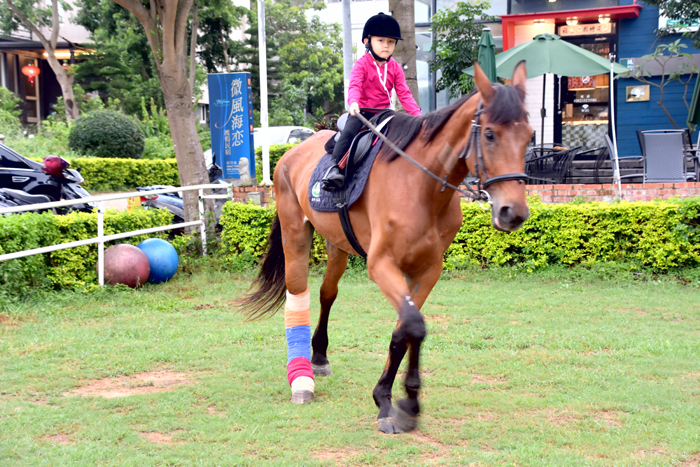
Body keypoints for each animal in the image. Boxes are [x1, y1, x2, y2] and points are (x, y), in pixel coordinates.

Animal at [239, 63, 532, 436]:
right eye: (491, 134)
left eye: (529, 136)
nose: (513, 212)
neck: (421, 186)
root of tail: (292, 152)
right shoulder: (381, 265)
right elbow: (414, 326)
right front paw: (396, 402)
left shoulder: (426, 270)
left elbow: (404, 331)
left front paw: (397, 400)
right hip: (296, 236)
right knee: (298, 294)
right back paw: (301, 379)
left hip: (337, 245)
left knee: (326, 293)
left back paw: (319, 356)